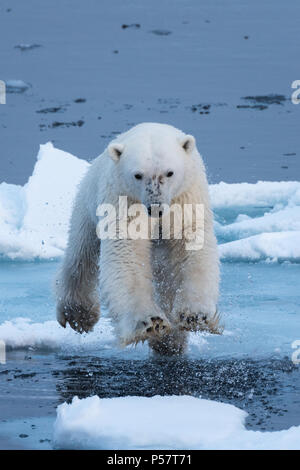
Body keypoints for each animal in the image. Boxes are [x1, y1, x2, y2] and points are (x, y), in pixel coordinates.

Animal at [56, 123, 220, 354]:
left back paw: (170, 344)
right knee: (81, 255)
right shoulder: (124, 199)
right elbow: (127, 254)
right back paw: (78, 315)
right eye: (138, 175)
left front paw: (195, 316)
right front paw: (150, 323)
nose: (155, 208)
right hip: (88, 204)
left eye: (169, 172)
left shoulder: (186, 197)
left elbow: (191, 247)